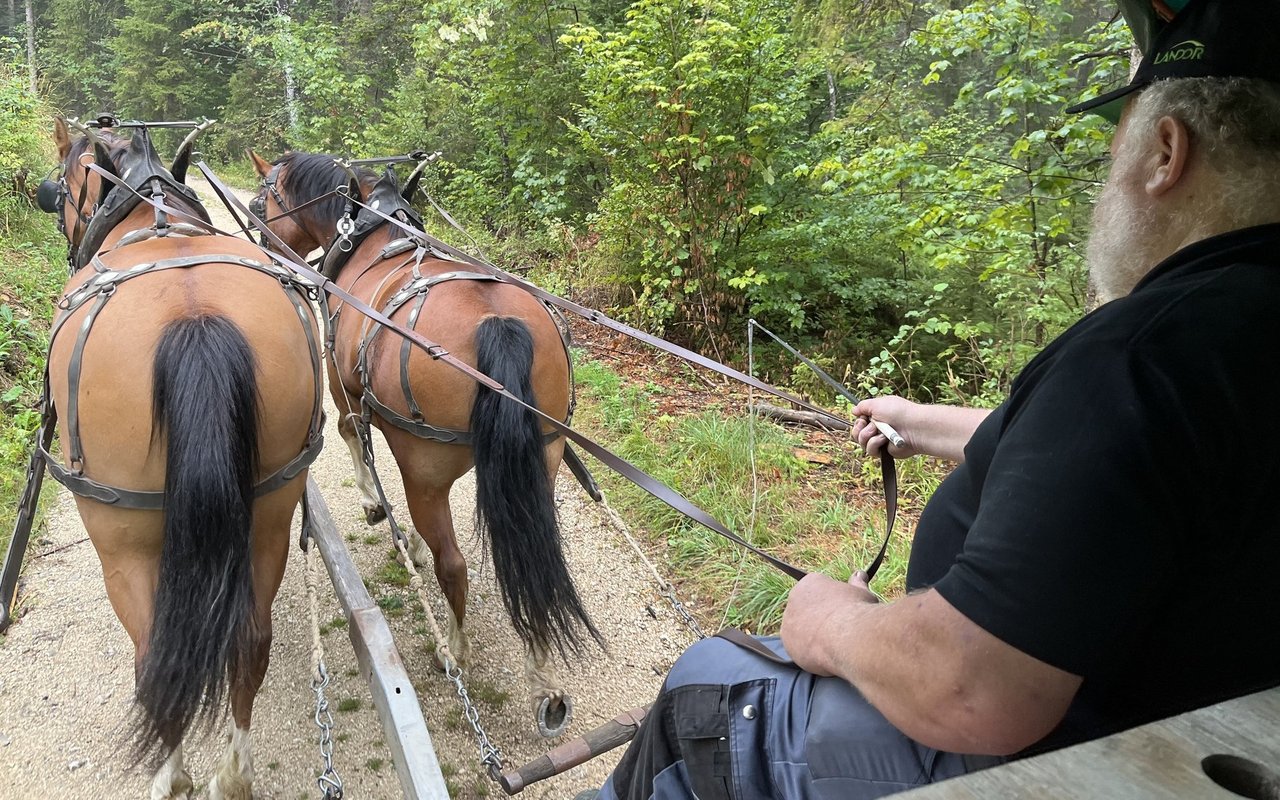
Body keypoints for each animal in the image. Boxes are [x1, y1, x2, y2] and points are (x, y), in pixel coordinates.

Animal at [42, 121, 327, 793]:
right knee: (249, 642)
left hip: (122, 535)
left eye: (63, 186)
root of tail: (194, 317)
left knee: (154, 659)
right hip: (271, 505)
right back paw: (235, 776)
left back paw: (172, 776)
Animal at [252, 151, 601, 737]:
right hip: (544, 456)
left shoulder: (344, 387)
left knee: (452, 562)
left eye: (262, 201)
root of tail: (494, 321)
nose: (259, 237)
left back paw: (454, 651)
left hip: (426, 467)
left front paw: (376, 508)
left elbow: (352, 435)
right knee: (533, 556)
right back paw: (544, 680)